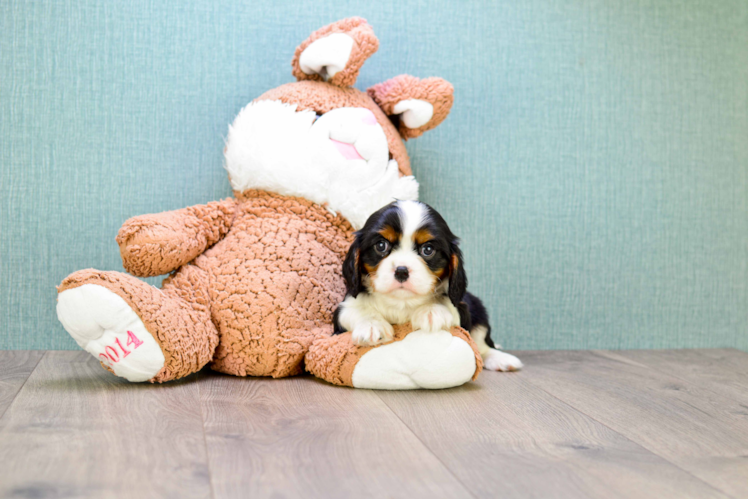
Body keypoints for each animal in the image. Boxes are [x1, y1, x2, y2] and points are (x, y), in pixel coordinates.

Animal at [336, 200, 524, 372]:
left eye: (428, 249)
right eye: (381, 245)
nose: (402, 271)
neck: (401, 302)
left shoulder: (462, 309)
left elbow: (447, 303)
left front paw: (432, 311)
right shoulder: (342, 310)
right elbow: (358, 310)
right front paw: (372, 325)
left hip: (478, 307)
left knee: (483, 345)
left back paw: (500, 358)